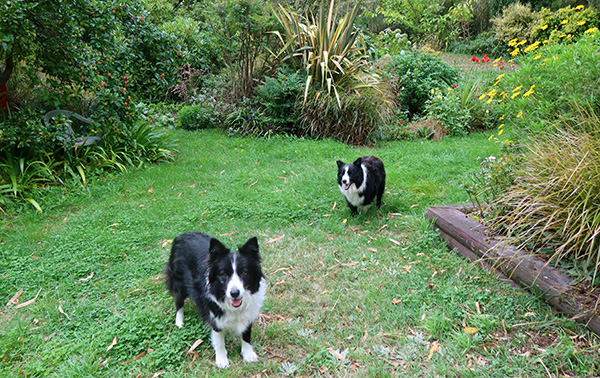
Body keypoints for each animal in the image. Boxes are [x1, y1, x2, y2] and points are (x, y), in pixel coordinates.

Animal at [165, 232, 266, 368]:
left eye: (244, 273)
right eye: (224, 274)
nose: (234, 293)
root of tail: (181, 235)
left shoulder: (249, 313)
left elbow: (246, 335)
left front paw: (248, 354)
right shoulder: (215, 316)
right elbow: (219, 342)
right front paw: (222, 360)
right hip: (178, 282)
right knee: (179, 302)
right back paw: (179, 322)